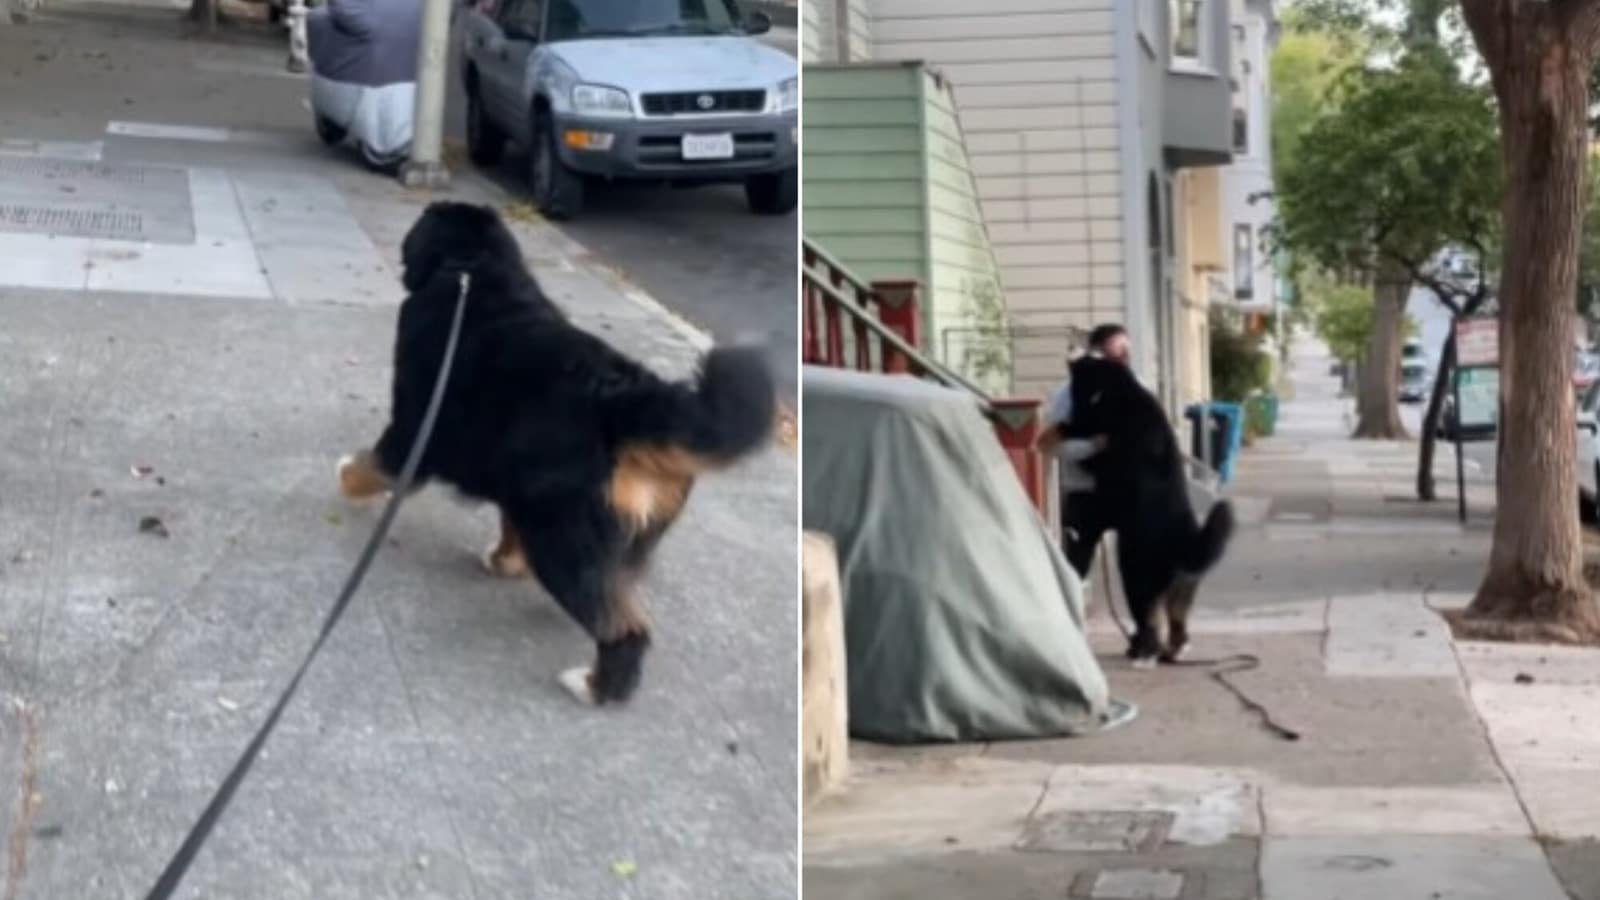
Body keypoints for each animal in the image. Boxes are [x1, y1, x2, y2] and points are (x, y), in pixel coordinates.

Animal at [340, 199, 777, 704]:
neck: (473, 271)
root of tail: (626, 398)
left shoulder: (414, 427)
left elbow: (376, 467)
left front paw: (346, 474)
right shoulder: (516, 479)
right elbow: (509, 524)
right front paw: (506, 560)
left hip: (565, 536)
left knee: (625, 628)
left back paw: (595, 686)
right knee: (618, 593)